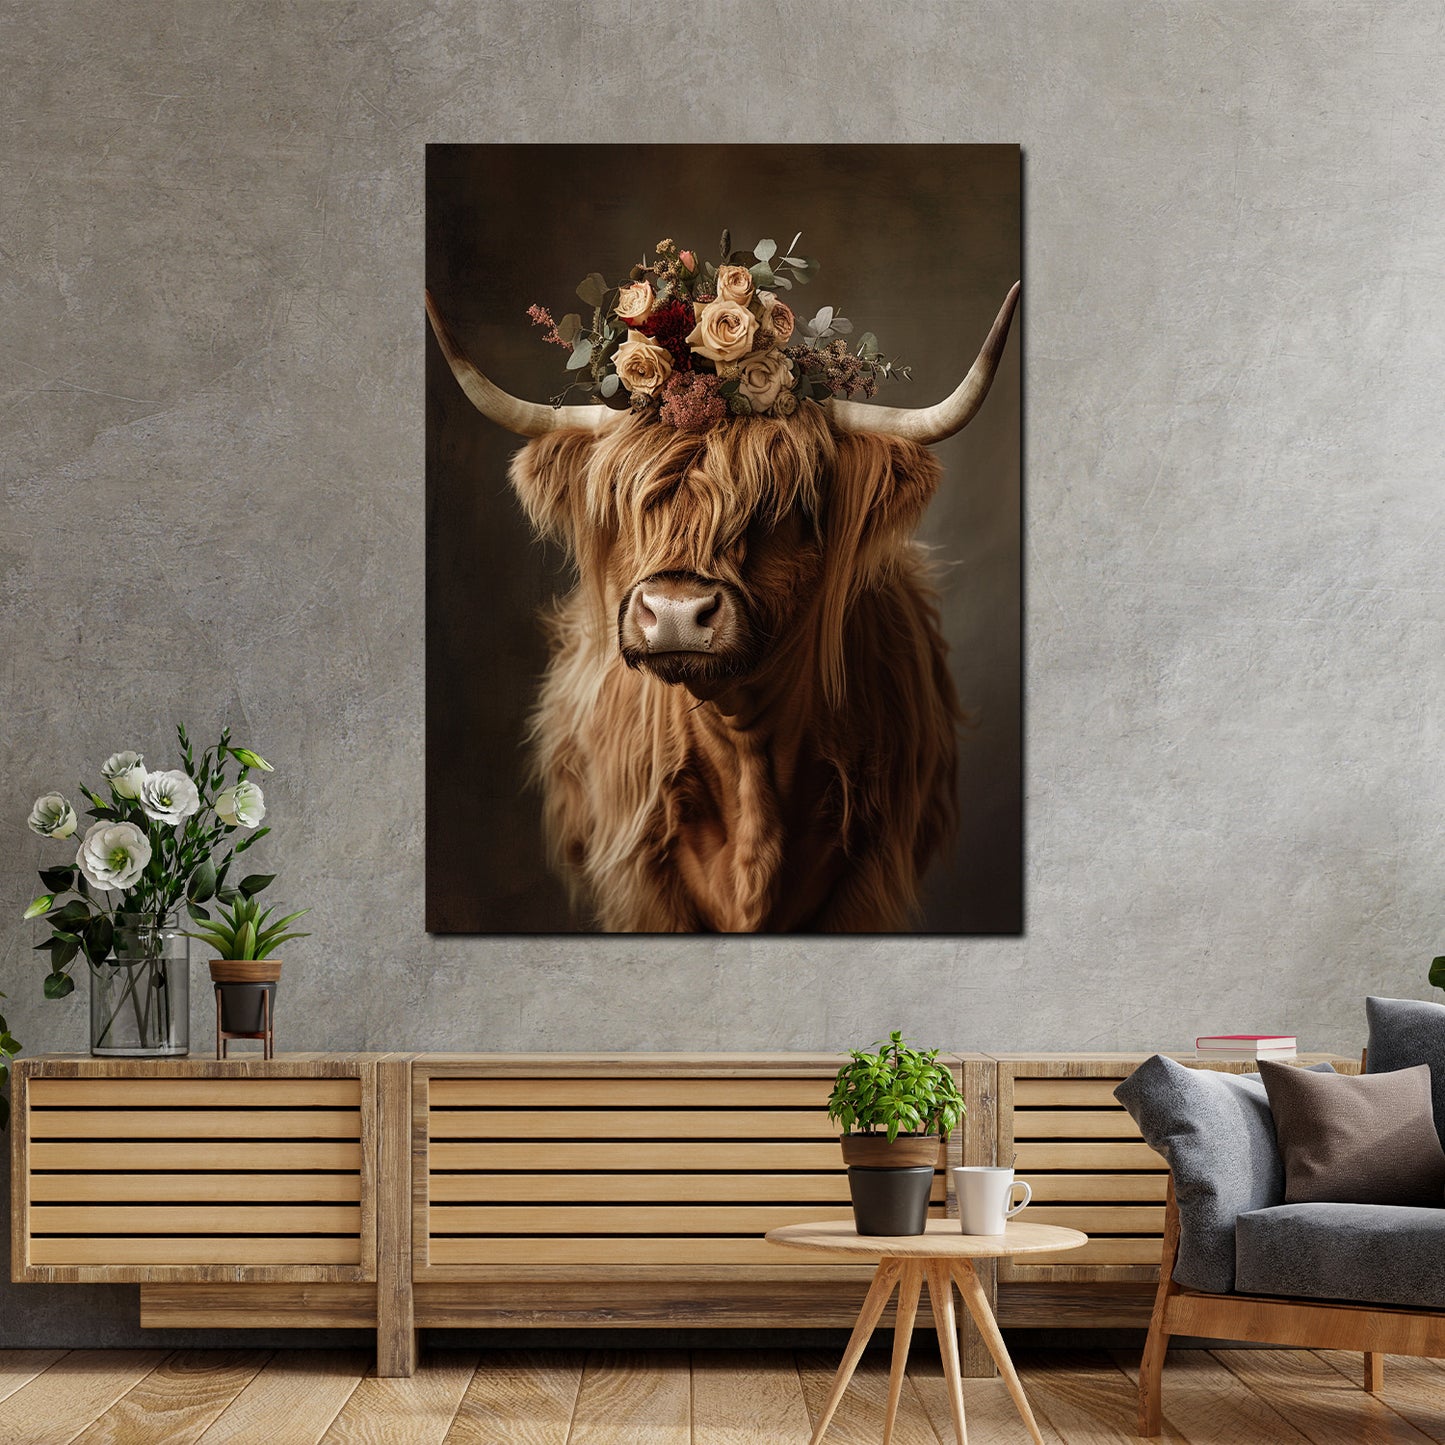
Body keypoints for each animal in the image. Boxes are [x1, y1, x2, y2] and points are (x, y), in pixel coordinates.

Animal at [426, 283, 1019, 932]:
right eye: (630, 502)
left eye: (783, 508)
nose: (674, 612)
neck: (748, 751)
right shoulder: (645, 885)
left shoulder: (865, 884)